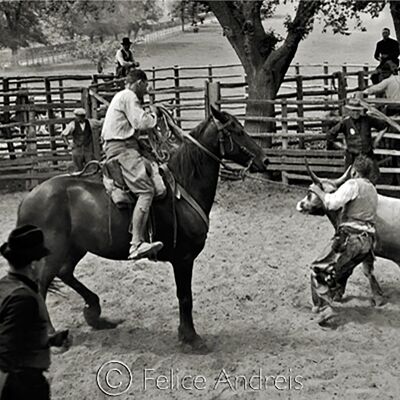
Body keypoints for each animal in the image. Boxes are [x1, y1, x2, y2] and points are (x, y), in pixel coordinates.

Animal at [16, 106, 268, 350]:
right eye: (236, 130)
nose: (264, 160)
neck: (185, 187)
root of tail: (28, 199)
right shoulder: (183, 259)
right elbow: (185, 297)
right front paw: (191, 338)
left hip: (76, 248)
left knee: (65, 272)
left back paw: (96, 315)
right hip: (54, 252)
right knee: (41, 285)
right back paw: (53, 336)